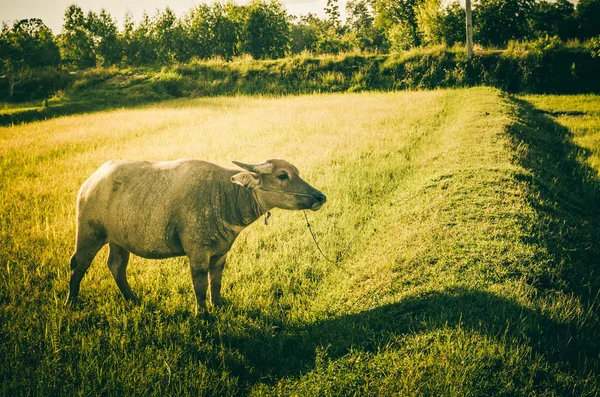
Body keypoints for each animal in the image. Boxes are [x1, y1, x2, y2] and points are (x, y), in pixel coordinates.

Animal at [65, 159, 326, 312]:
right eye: (282, 176)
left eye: (296, 172)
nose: (319, 196)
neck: (226, 194)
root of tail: (90, 182)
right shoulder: (198, 251)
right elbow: (200, 283)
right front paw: (203, 314)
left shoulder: (221, 251)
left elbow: (216, 280)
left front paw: (217, 305)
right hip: (89, 233)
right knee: (78, 264)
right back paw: (71, 302)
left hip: (119, 239)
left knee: (116, 265)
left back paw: (132, 299)